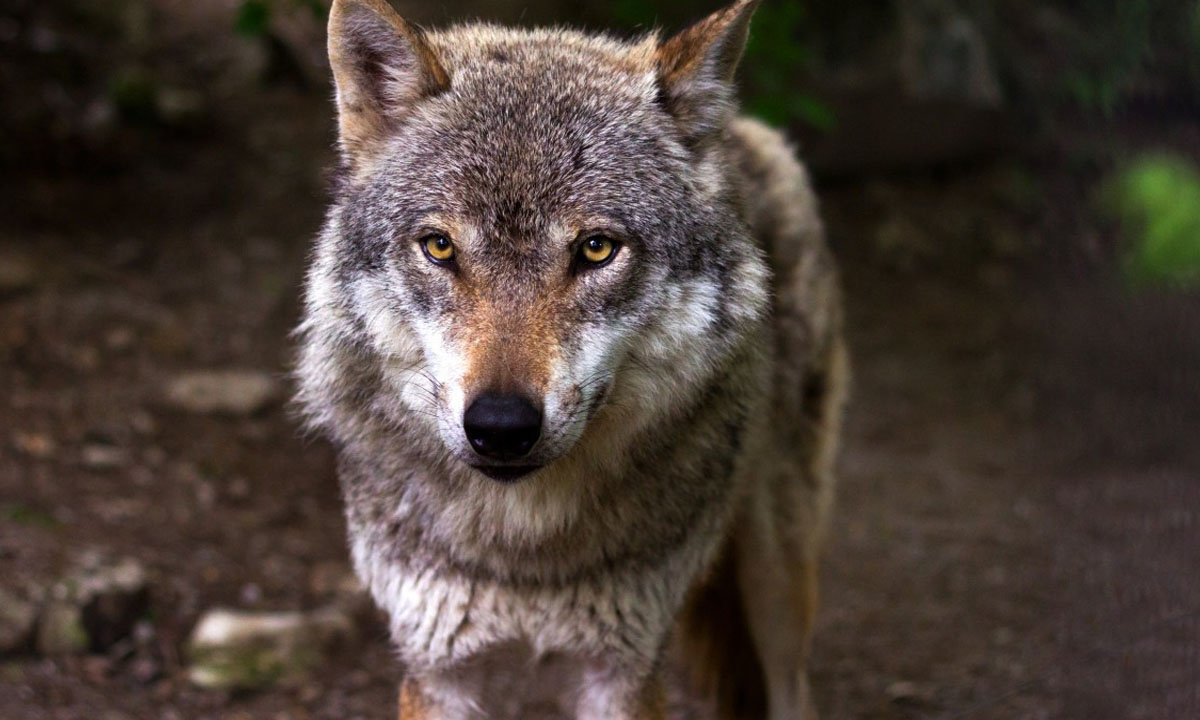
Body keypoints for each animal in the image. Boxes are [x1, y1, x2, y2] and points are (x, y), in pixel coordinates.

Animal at [295, 1, 849, 715]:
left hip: (777, 576)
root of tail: (744, 131)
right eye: (440, 246)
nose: (501, 426)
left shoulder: (623, 669)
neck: (525, 550)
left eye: (595, 249)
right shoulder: (438, 669)